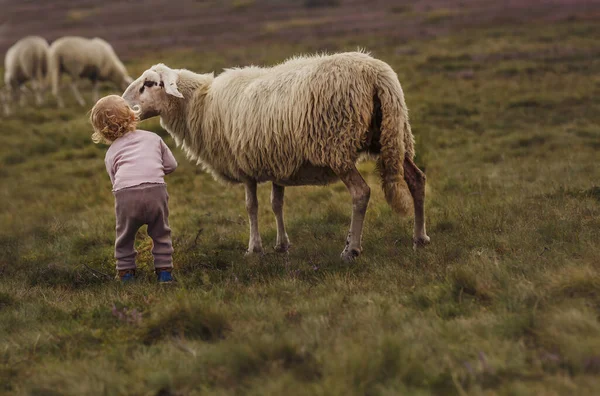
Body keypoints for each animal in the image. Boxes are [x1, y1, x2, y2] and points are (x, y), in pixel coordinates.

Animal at [123, 51, 432, 262]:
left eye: (149, 83)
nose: (125, 103)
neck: (201, 103)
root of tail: (376, 74)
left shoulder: (244, 164)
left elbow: (252, 207)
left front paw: (254, 248)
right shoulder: (276, 161)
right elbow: (276, 204)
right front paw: (282, 245)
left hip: (338, 144)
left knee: (361, 193)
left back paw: (351, 249)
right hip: (393, 134)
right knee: (416, 180)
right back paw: (420, 238)